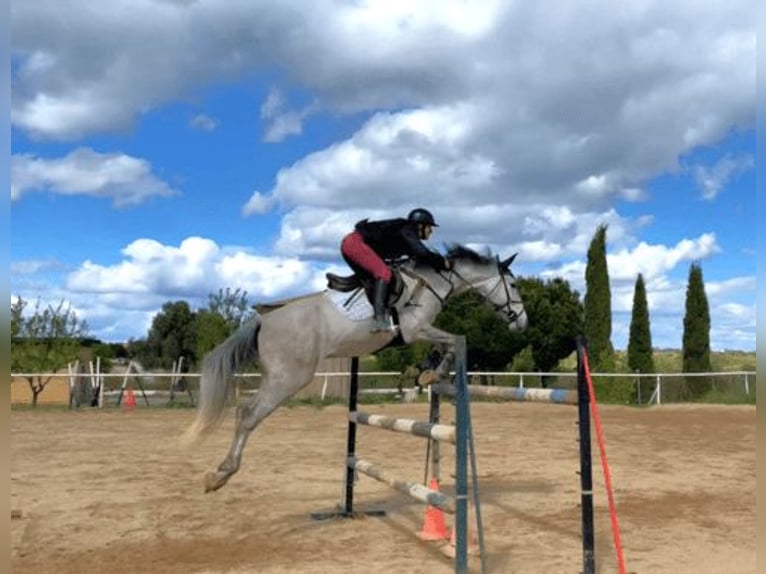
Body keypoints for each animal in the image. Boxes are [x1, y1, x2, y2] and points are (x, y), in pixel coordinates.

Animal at [184, 244, 528, 492]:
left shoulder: (419, 333)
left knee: (245, 412)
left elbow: (446, 345)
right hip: (290, 377)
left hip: (278, 376)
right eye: (512, 284)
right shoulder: (415, 329)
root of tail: (262, 320)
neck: (434, 280)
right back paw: (221, 474)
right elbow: (455, 341)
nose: (522, 323)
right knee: (248, 414)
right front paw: (433, 370)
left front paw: (428, 370)